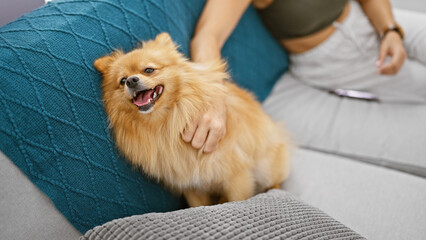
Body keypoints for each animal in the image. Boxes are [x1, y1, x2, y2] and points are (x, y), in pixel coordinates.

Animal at [94, 32, 290, 207]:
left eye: (149, 70)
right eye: (122, 81)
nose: (131, 81)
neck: (164, 123)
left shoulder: (237, 175)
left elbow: (238, 200)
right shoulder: (190, 185)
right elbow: (198, 206)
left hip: (266, 167)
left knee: (275, 180)